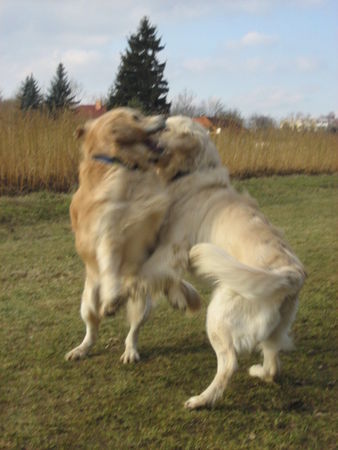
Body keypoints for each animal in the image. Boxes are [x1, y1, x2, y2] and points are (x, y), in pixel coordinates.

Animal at [123, 115, 304, 408]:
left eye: (166, 127)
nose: (143, 129)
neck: (189, 172)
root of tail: (292, 272)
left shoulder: (171, 248)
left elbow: (145, 272)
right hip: (273, 330)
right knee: (273, 366)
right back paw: (258, 372)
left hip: (218, 317)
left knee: (229, 364)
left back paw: (202, 400)